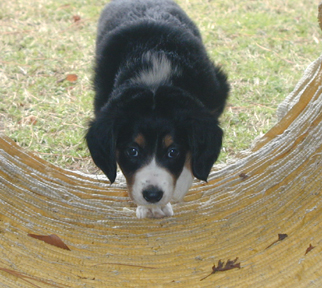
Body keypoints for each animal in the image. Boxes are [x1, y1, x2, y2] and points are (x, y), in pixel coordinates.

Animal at [85, 0, 229, 217]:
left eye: (173, 152)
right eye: (132, 151)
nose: (152, 195)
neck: (154, 76)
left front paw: (177, 190)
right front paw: (149, 208)